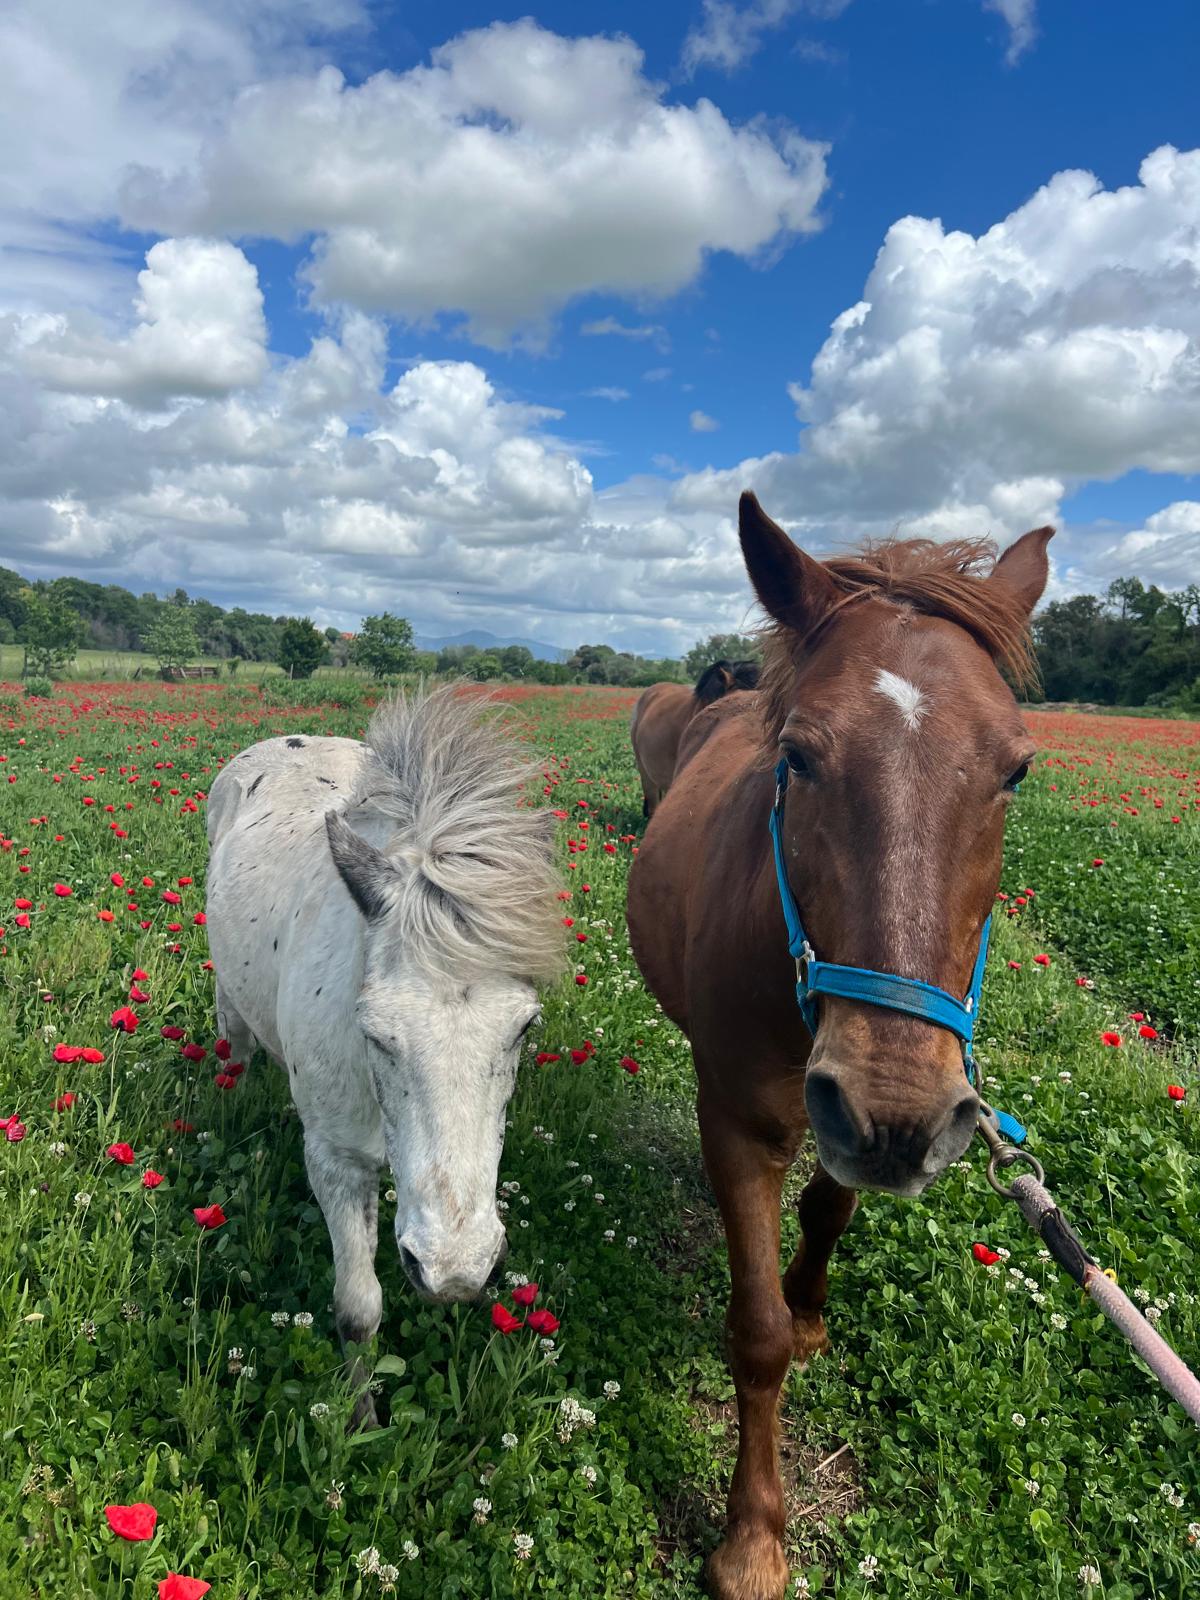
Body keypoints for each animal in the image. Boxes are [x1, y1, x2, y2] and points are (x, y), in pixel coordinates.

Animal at [205, 687, 563, 1422]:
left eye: (524, 1028)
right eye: (376, 1034)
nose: (454, 1270)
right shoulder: (337, 1160)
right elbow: (358, 1308)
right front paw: (358, 1422)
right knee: (238, 1050)